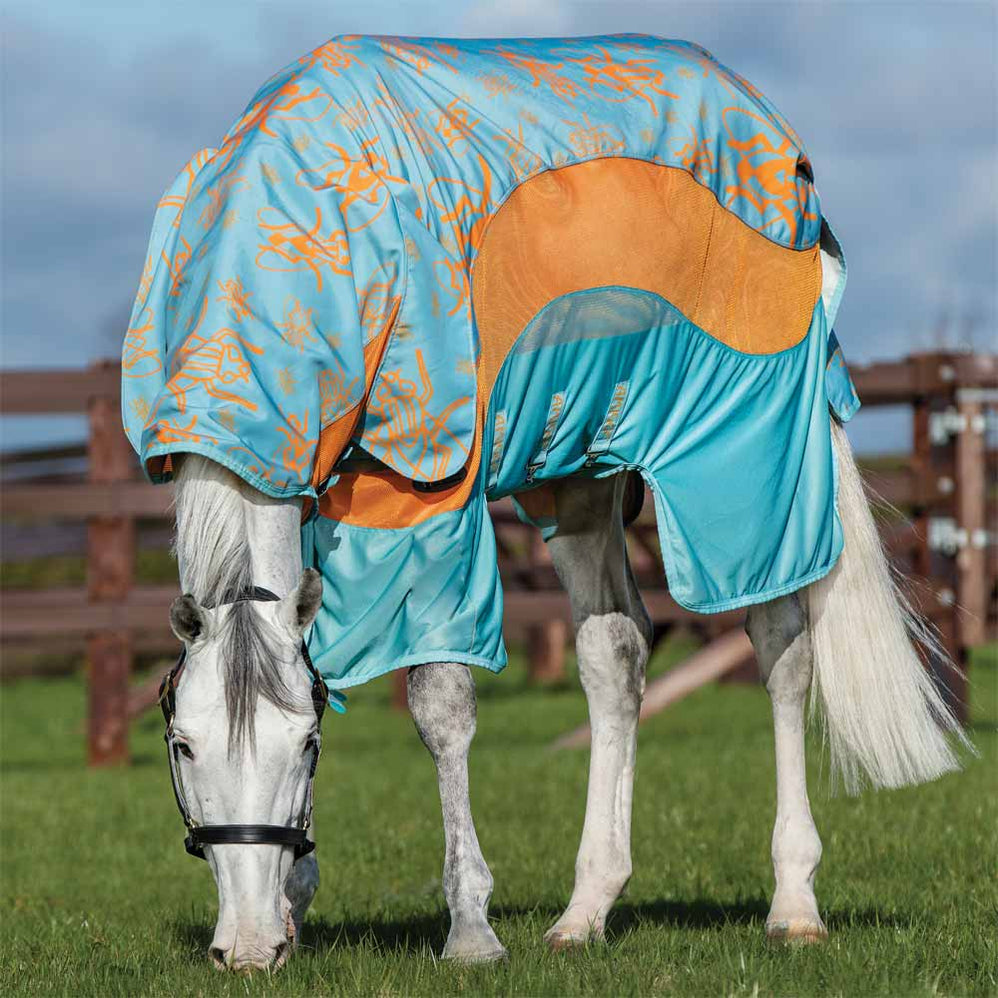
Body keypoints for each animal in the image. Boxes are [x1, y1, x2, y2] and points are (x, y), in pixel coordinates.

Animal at [125, 34, 967, 970]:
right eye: (182, 744)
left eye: (303, 747)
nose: (243, 949)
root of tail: (774, 132)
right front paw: (294, 905)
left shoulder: (428, 498)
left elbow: (441, 703)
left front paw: (470, 929)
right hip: (580, 472)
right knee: (616, 655)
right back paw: (585, 909)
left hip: (745, 451)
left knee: (780, 643)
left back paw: (793, 903)